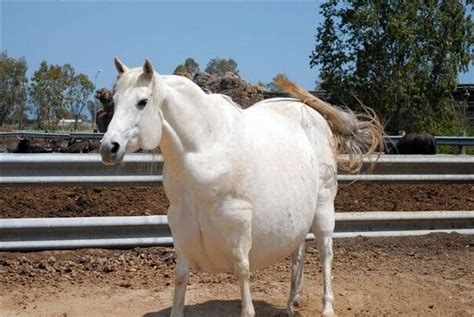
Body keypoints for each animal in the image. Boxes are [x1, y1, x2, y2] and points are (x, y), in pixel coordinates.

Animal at [101, 58, 386, 314]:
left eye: (142, 102)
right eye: (114, 102)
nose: (108, 148)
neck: (205, 149)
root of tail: (312, 112)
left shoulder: (237, 223)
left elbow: (242, 271)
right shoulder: (180, 226)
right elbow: (181, 276)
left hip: (323, 206)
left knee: (326, 253)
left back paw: (327, 308)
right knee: (298, 251)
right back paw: (292, 303)